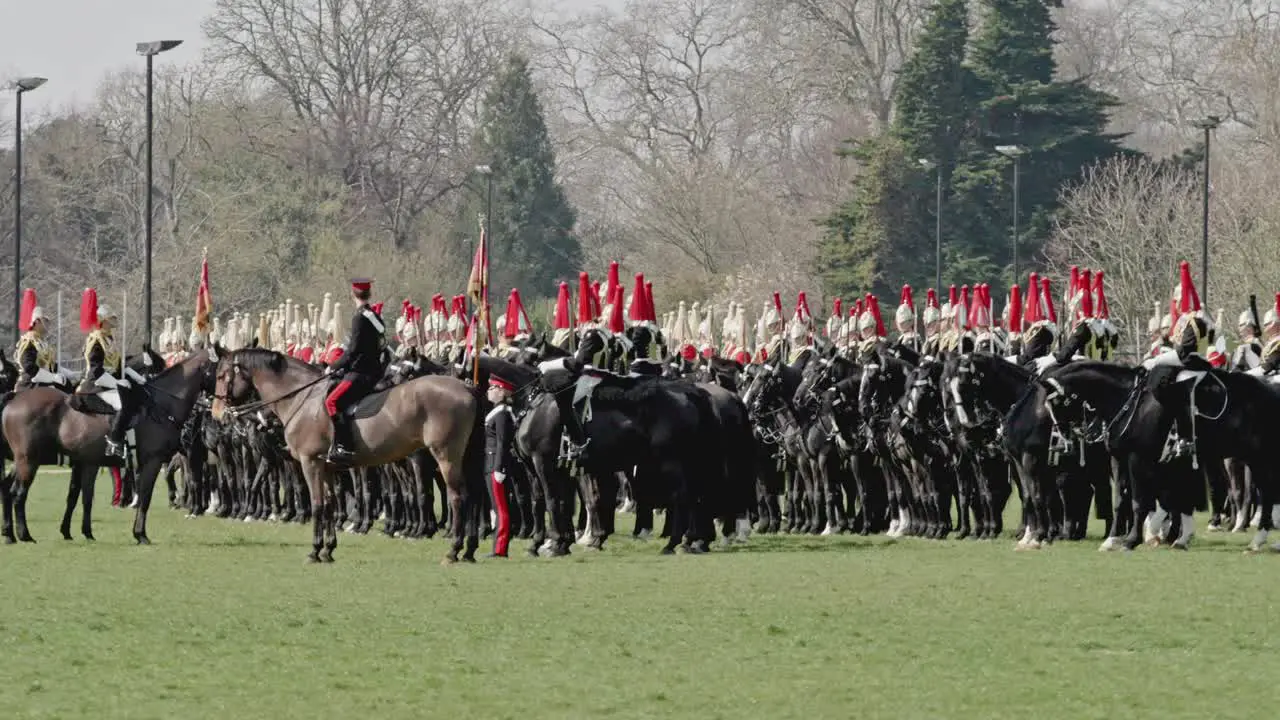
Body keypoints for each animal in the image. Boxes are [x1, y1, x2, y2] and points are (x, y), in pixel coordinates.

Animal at [0, 348, 215, 543]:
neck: (159, 404)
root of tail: (14, 399)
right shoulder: (150, 462)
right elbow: (144, 497)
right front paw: (140, 534)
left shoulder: (89, 463)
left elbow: (82, 496)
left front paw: (79, 532)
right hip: (29, 460)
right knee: (18, 493)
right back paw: (24, 535)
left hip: (23, 461)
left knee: (8, 488)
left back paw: (10, 534)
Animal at [212, 345, 481, 561]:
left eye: (221, 375)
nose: (217, 413)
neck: (303, 398)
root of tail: (467, 389)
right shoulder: (327, 467)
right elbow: (330, 503)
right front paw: (328, 549)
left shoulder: (311, 463)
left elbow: (318, 504)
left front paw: (315, 550)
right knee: (472, 497)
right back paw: (469, 549)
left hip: (445, 456)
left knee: (457, 497)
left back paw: (453, 549)